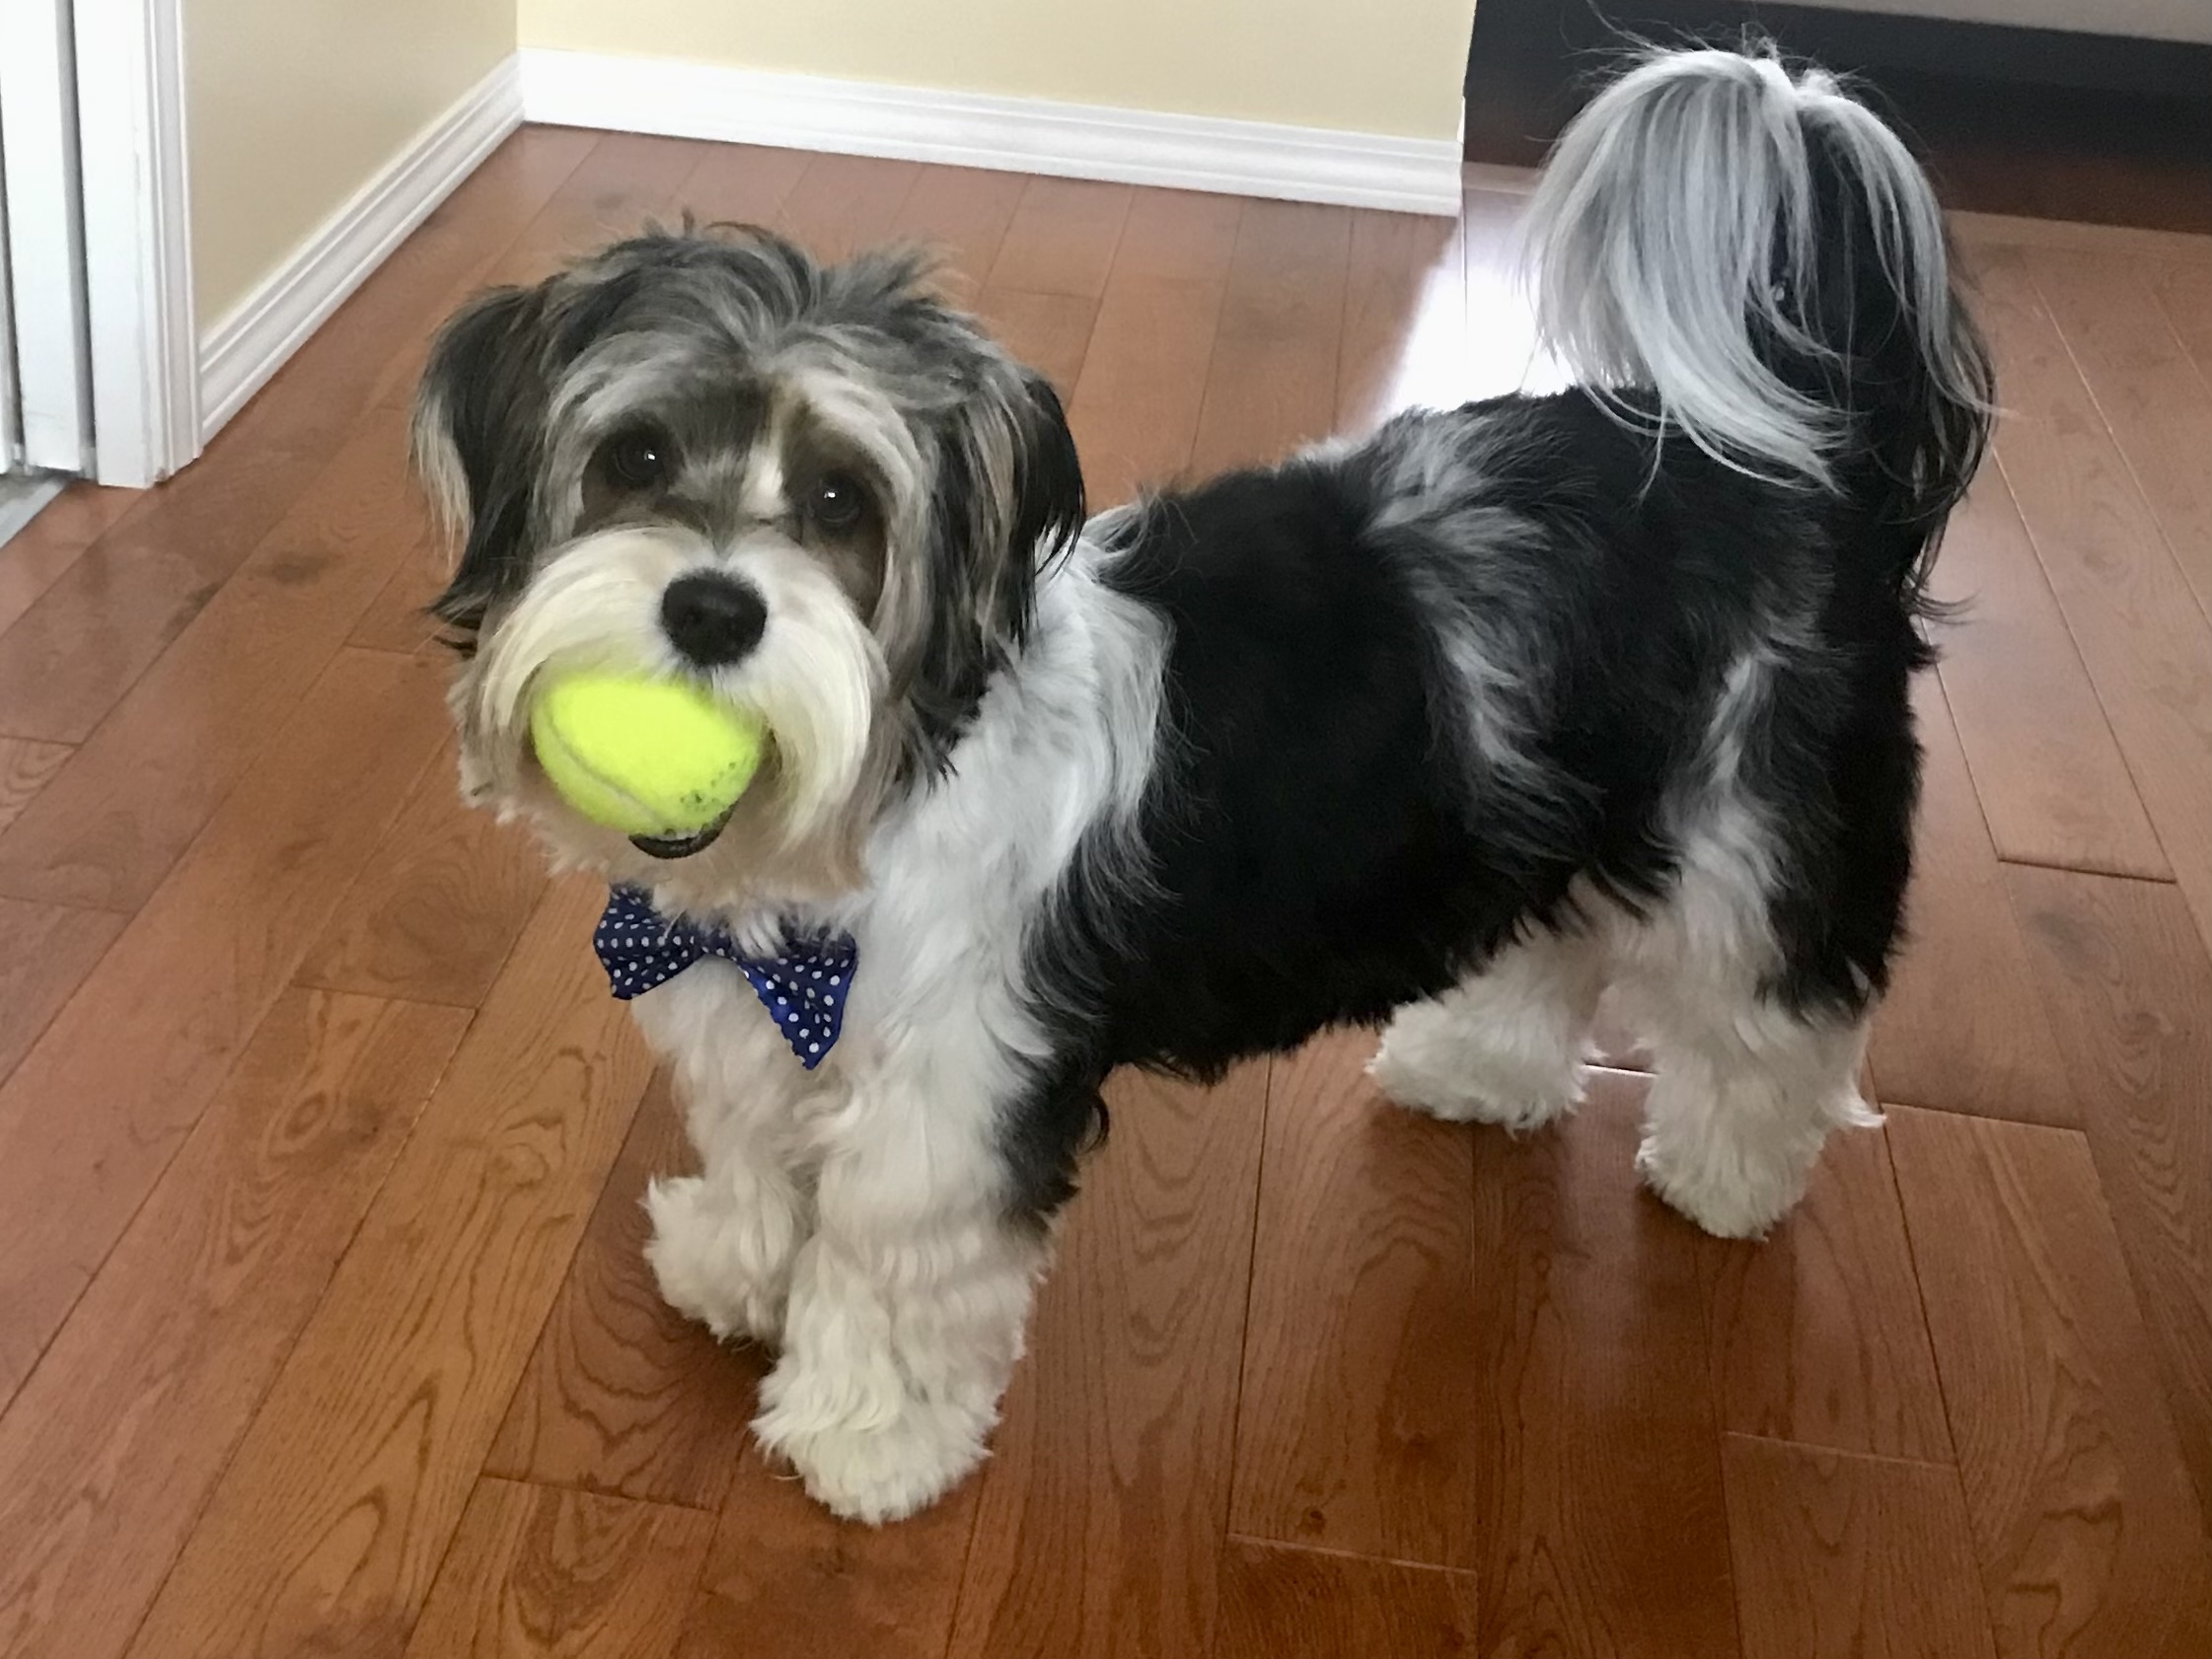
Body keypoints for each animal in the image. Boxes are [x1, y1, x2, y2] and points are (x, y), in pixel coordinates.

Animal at [411, 45, 1992, 1522]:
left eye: (843, 501)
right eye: (635, 455)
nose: (711, 607)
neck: (869, 806)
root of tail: (1788, 459)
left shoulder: (952, 1097)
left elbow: (888, 1266)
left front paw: (865, 1436)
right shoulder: (754, 1028)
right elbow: (756, 1153)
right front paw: (732, 1266)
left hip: (1757, 829)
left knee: (1777, 1011)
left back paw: (1729, 1173)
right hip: (1524, 799)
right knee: (1554, 937)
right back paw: (1479, 1066)